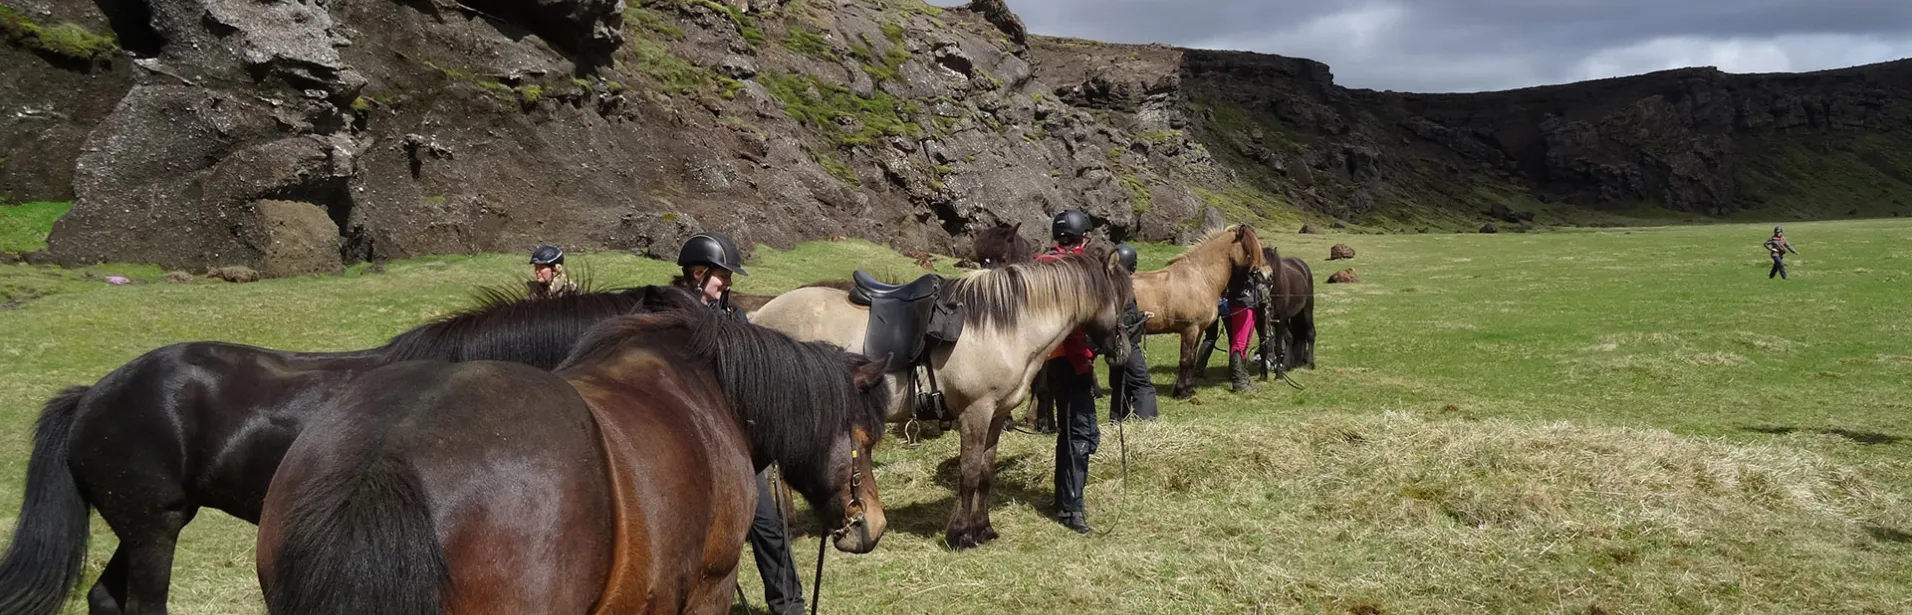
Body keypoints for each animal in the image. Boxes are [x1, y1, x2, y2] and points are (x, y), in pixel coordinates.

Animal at [745, 250, 1131, 546]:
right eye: (1126, 300)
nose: (1123, 353)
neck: (1002, 327)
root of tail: (758, 314)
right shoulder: (976, 412)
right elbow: (969, 473)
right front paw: (961, 534)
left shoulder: (996, 415)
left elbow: (986, 473)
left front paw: (983, 529)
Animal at [1131, 223, 1269, 397]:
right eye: (1250, 250)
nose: (1267, 275)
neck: (1201, 278)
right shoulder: (1190, 329)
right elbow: (1185, 360)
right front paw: (1182, 393)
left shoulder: (1198, 331)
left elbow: (1192, 359)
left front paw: (1188, 389)